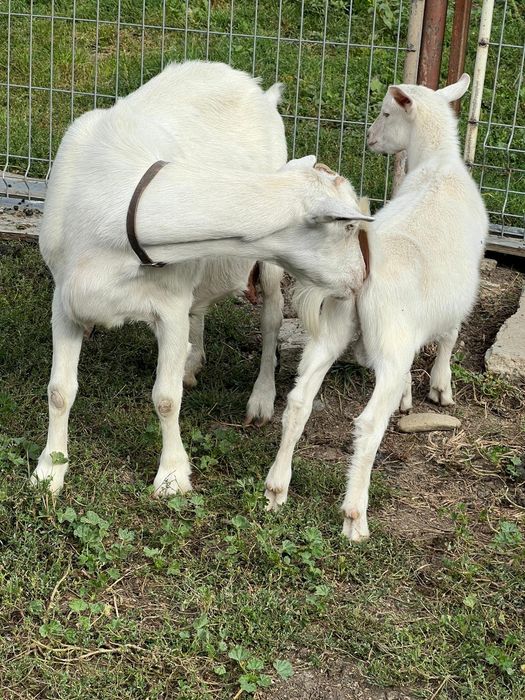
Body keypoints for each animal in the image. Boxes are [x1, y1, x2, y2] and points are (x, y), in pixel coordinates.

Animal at [32, 61, 372, 496]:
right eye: (348, 226)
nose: (360, 278)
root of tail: (259, 89)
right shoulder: (66, 299)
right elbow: (59, 391)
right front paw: (49, 471)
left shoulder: (169, 308)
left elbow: (165, 397)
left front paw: (172, 476)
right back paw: (192, 363)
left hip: (269, 266)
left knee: (272, 319)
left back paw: (261, 398)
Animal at [264, 74, 488, 541]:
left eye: (386, 113)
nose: (370, 138)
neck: (437, 165)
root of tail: (361, 271)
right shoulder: (461, 292)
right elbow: (450, 336)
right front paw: (440, 389)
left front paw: (410, 395)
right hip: (389, 339)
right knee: (368, 425)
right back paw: (354, 517)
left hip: (333, 327)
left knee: (298, 401)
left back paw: (276, 488)